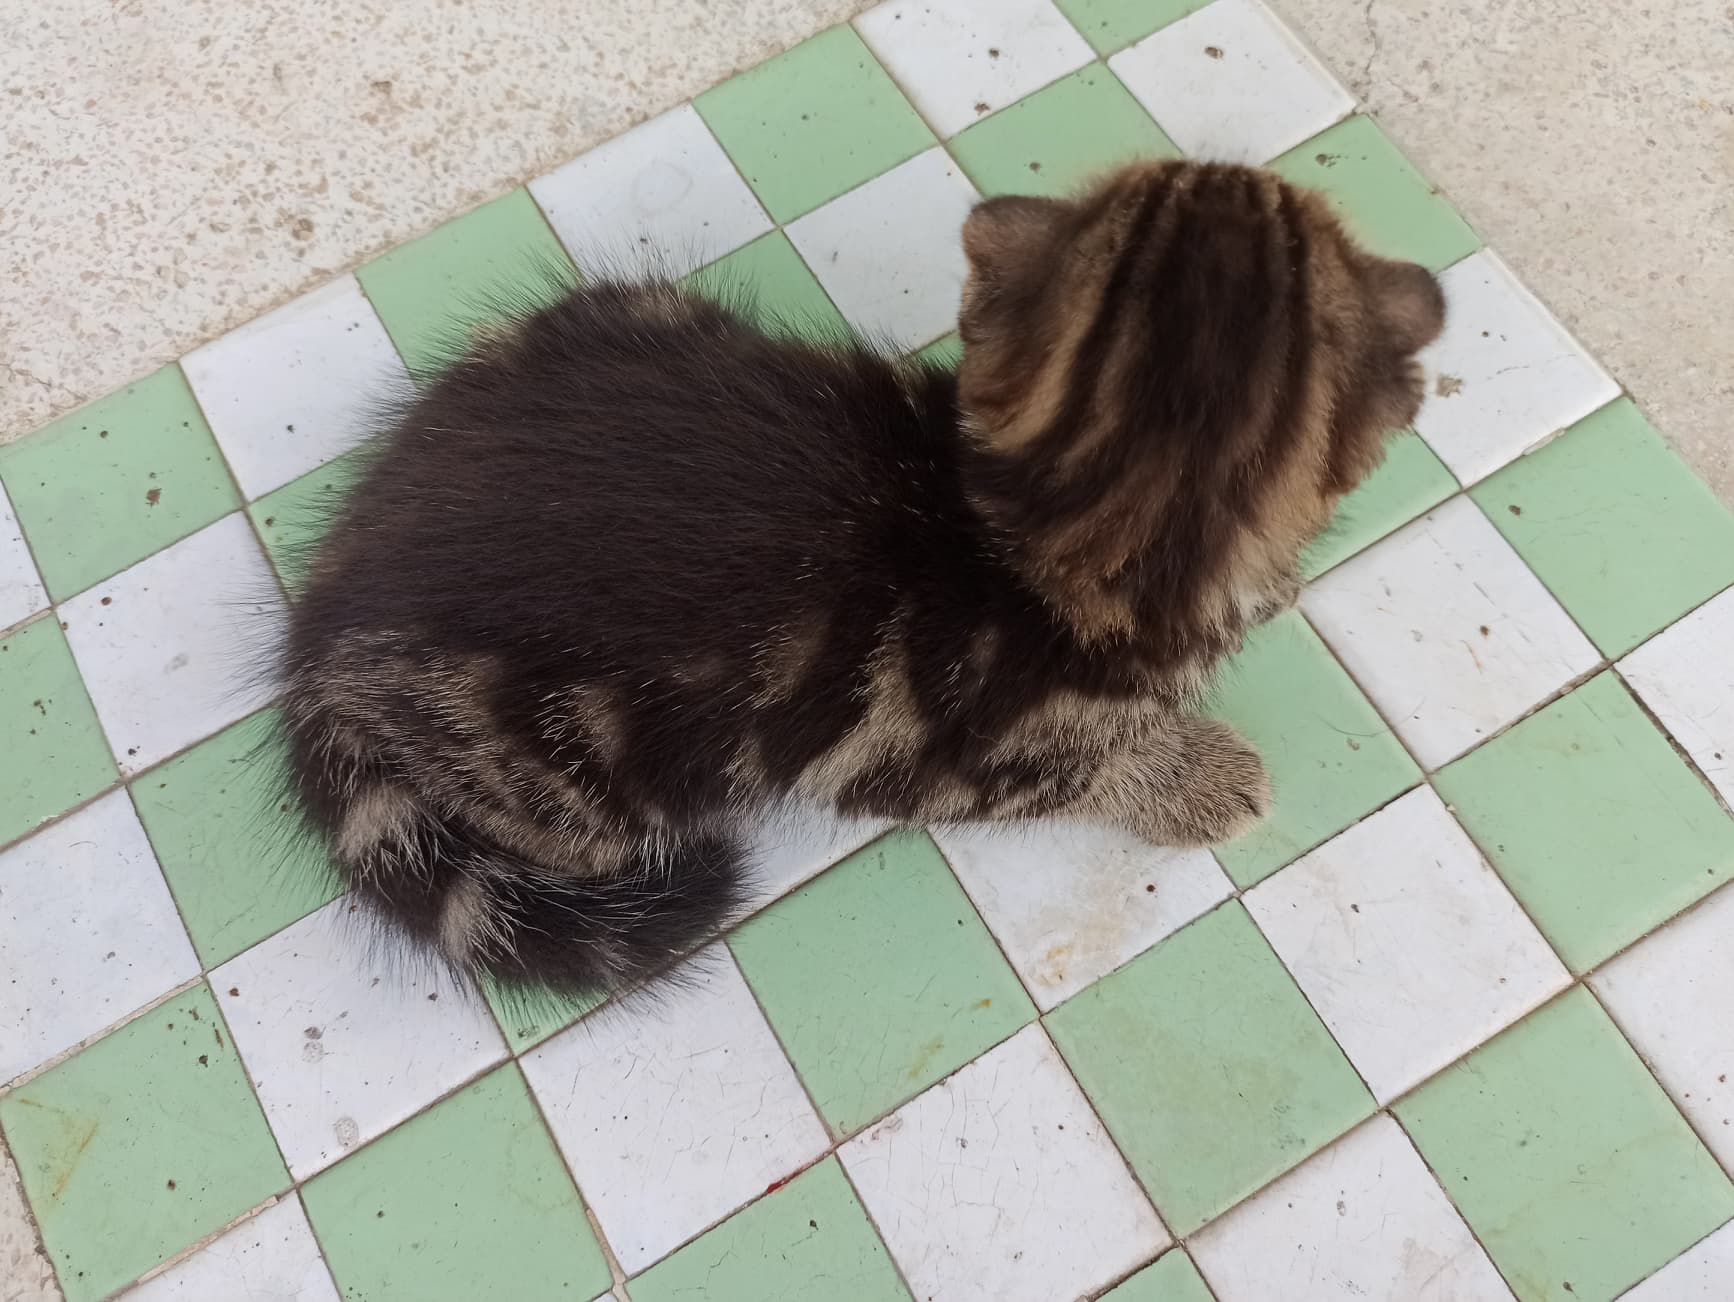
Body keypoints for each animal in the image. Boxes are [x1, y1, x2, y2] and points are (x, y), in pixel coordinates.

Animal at [275, 158, 1445, 997]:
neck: (1021, 534)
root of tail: (314, 633)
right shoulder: (938, 754)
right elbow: (1083, 761)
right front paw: (1194, 774)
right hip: (576, 780)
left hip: (614, 313)